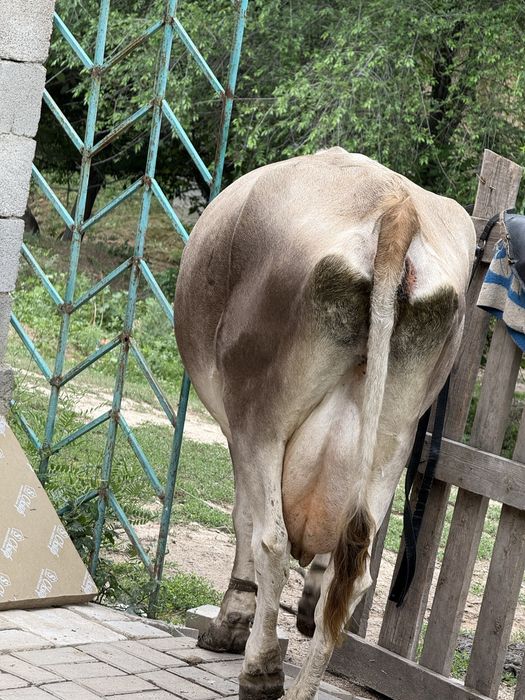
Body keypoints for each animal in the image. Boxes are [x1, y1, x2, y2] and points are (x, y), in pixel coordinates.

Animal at [174, 148, 475, 700]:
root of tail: (397, 208)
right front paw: (308, 608)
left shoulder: (235, 428)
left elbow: (243, 517)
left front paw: (231, 624)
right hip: (393, 438)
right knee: (353, 572)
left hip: (260, 414)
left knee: (270, 538)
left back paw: (262, 672)